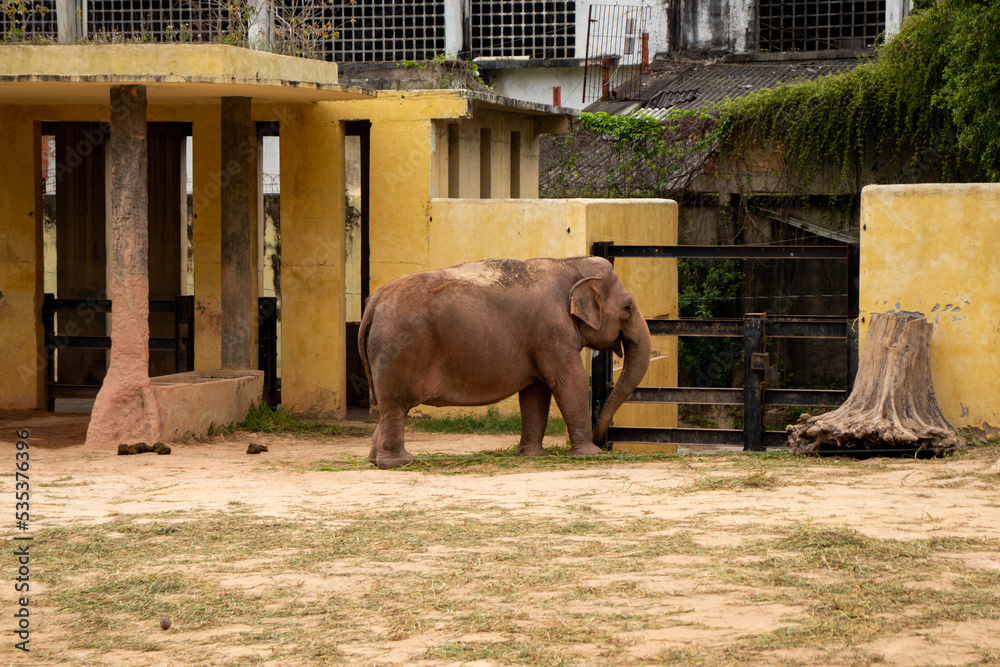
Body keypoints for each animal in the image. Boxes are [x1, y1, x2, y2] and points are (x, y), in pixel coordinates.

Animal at [358, 256, 652, 469]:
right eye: (627, 308)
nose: (604, 441)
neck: (569, 263)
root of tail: (373, 302)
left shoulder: (539, 340)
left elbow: (536, 391)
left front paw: (533, 456)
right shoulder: (552, 331)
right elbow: (569, 381)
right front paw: (590, 455)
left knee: (388, 408)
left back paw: (376, 460)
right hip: (399, 349)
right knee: (395, 405)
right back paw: (400, 463)